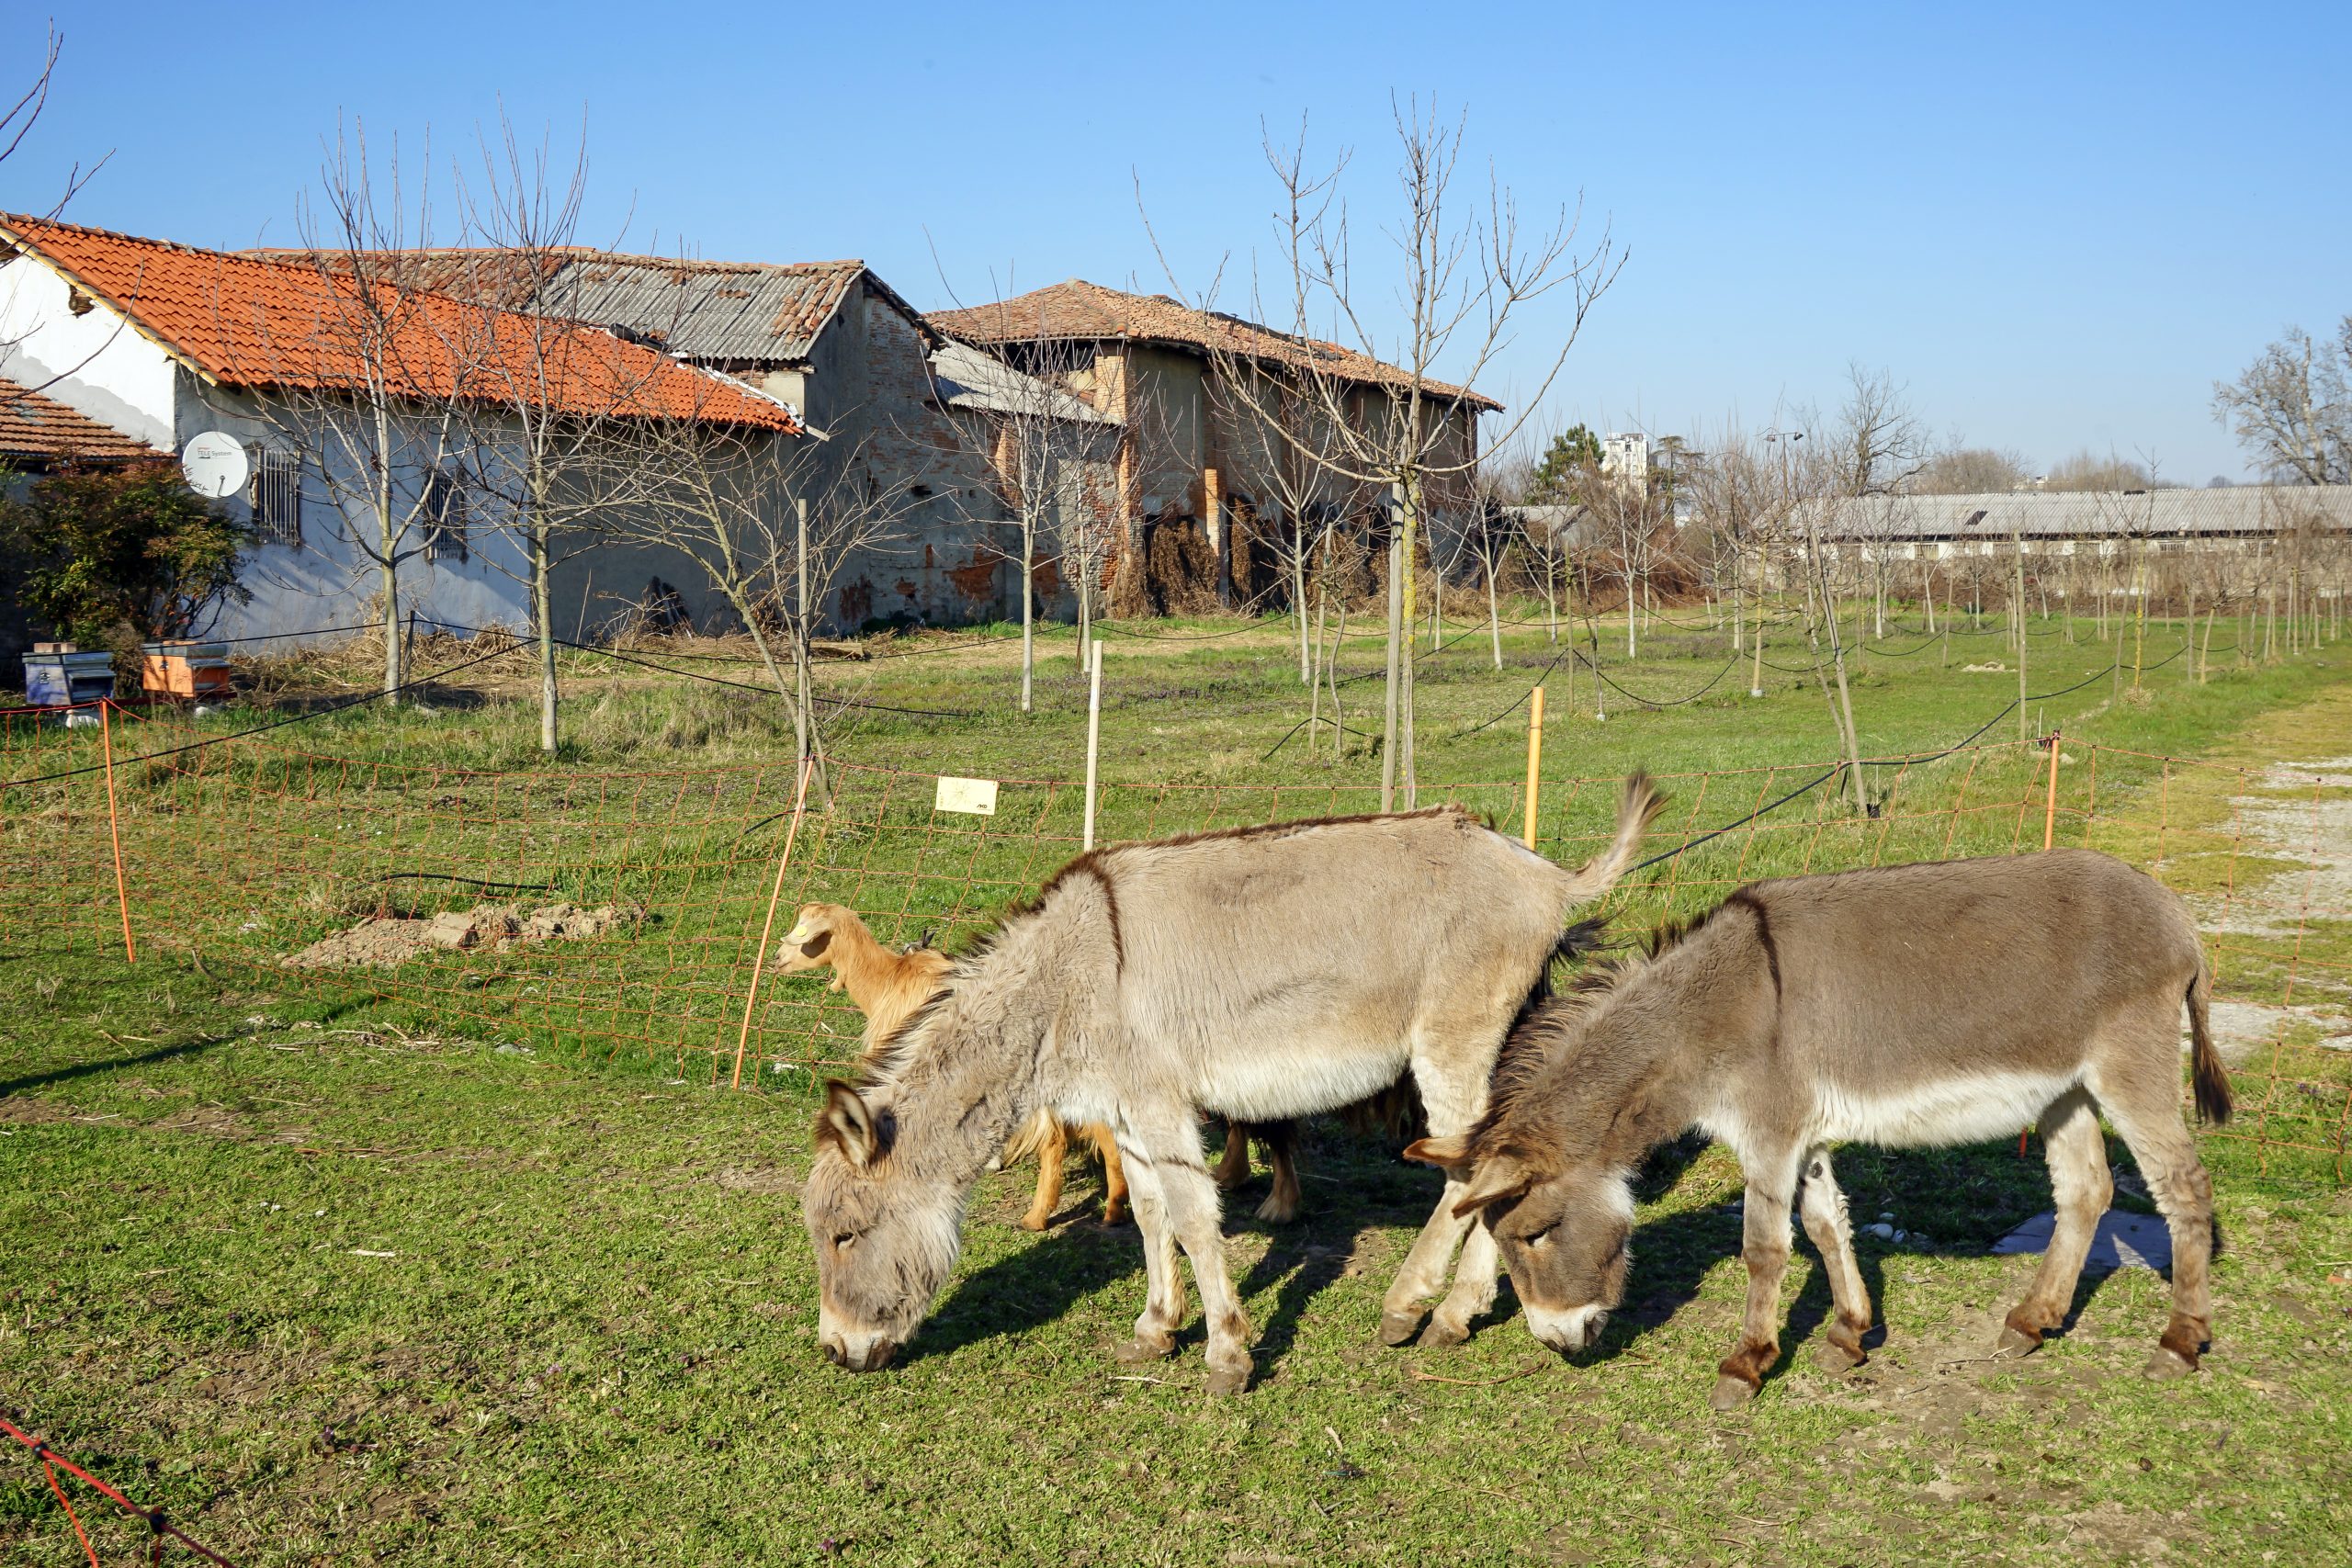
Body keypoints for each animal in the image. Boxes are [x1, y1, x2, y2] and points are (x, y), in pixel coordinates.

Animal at [780, 907, 1128, 1222]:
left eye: (803, 931)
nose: (778, 958)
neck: (889, 980)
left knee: (1055, 1138)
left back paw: (1038, 1217)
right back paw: (1114, 1209)